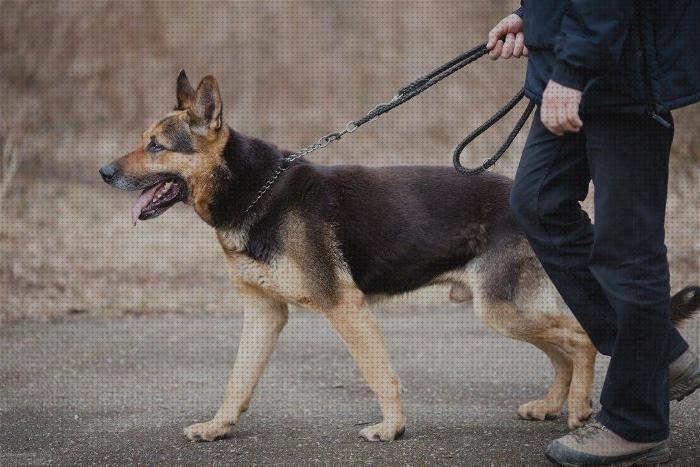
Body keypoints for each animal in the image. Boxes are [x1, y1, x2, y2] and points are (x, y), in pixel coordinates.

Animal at [100, 72, 700, 442]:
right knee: (564, 348)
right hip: (503, 309)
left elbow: (379, 373)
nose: (104, 172)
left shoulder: (344, 306)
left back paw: (578, 410)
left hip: (500, 308)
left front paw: (391, 429)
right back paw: (553, 404)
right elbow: (237, 381)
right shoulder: (264, 314)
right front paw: (218, 427)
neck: (253, 190)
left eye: (157, 146)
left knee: (579, 338)